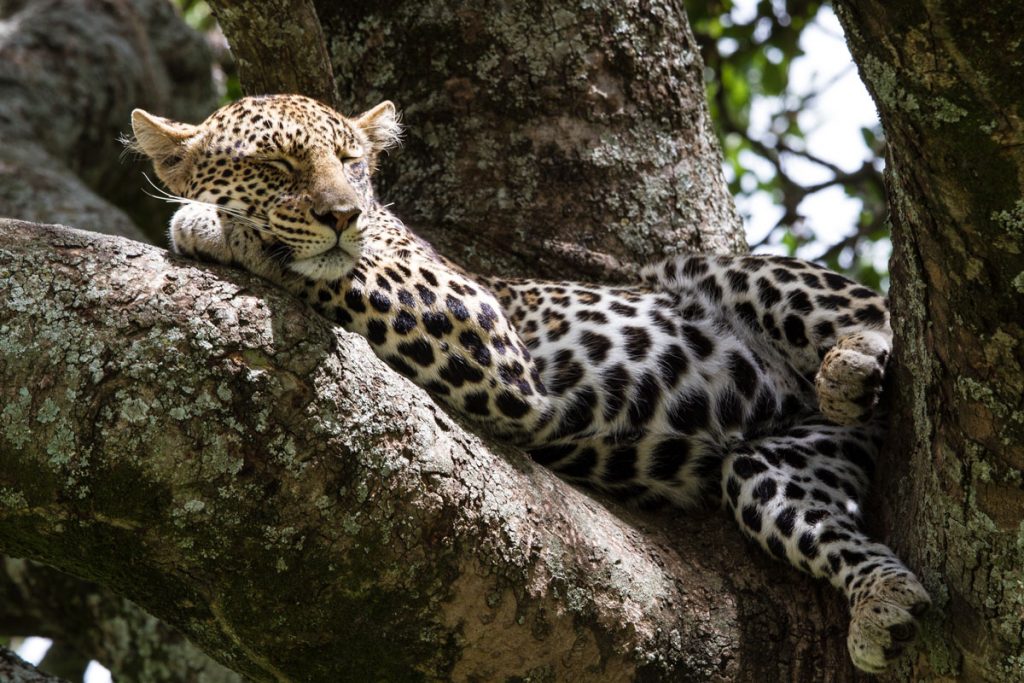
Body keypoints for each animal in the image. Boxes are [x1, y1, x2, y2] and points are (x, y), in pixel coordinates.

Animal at [128, 94, 929, 671]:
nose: (343, 215)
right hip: (779, 461)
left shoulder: (477, 322)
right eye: (276, 166)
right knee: (792, 497)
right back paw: (885, 602)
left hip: (704, 271)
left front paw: (209, 223)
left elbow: (333, 268)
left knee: (873, 313)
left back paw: (850, 364)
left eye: (352, 163)